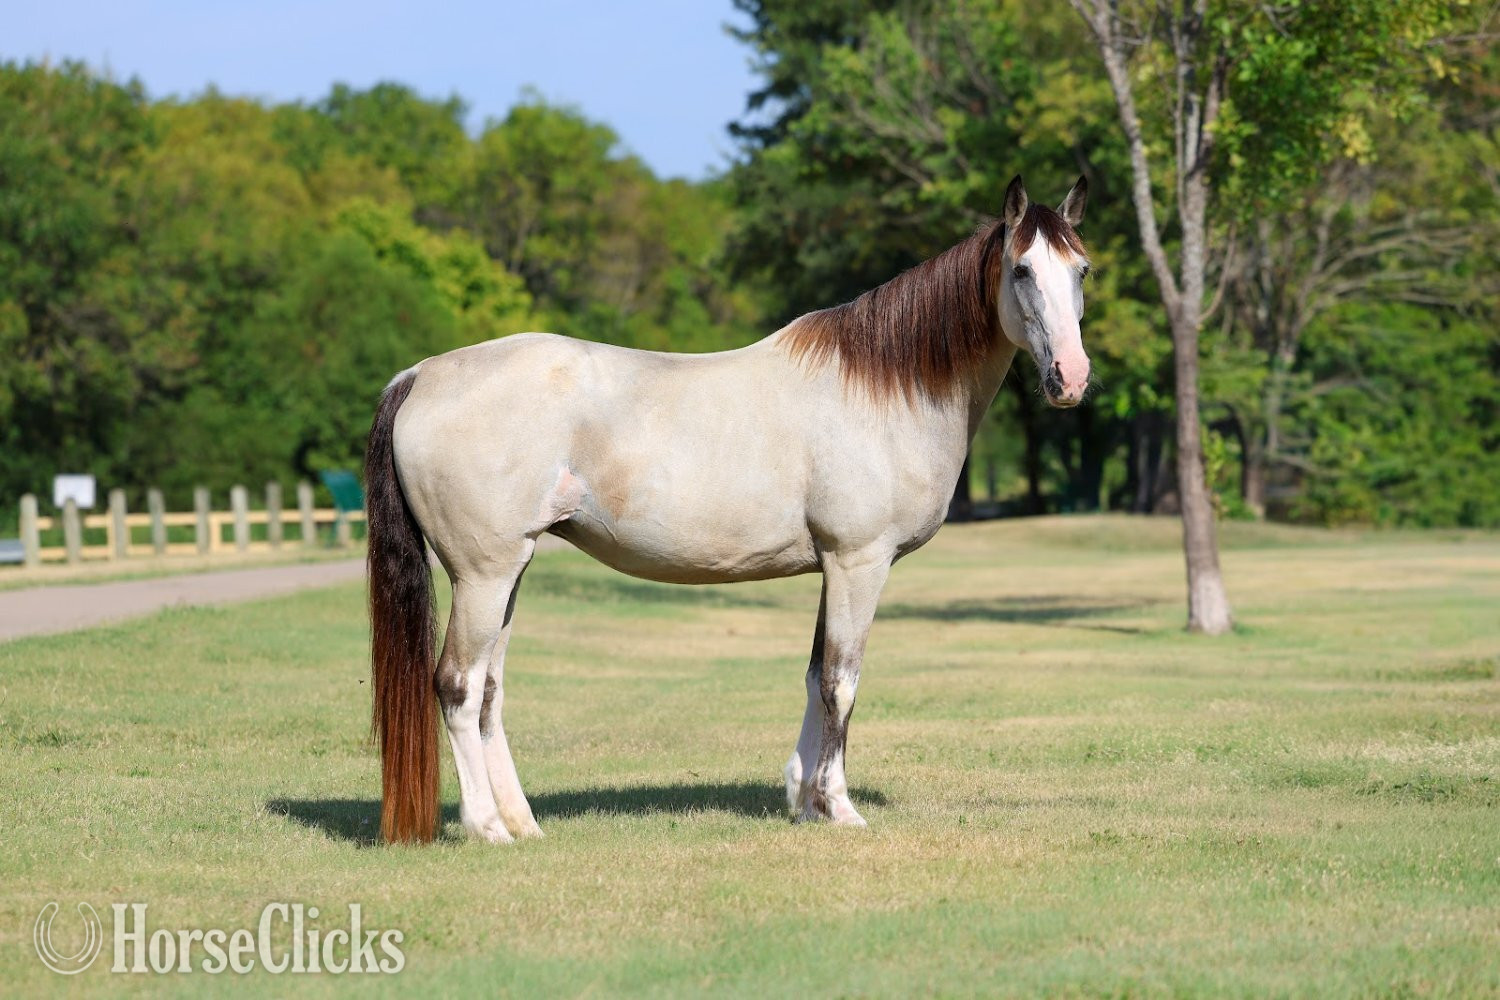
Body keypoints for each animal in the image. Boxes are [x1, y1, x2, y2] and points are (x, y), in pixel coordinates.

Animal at [365, 175, 1092, 843]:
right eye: (1022, 269)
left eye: (1081, 270)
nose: (1072, 378)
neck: (883, 388)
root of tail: (422, 374)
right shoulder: (860, 563)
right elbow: (842, 682)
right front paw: (839, 807)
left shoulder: (831, 566)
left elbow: (814, 675)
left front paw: (803, 801)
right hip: (482, 576)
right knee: (457, 687)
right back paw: (487, 826)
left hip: (507, 574)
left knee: (489, 690)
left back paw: (522, 823)